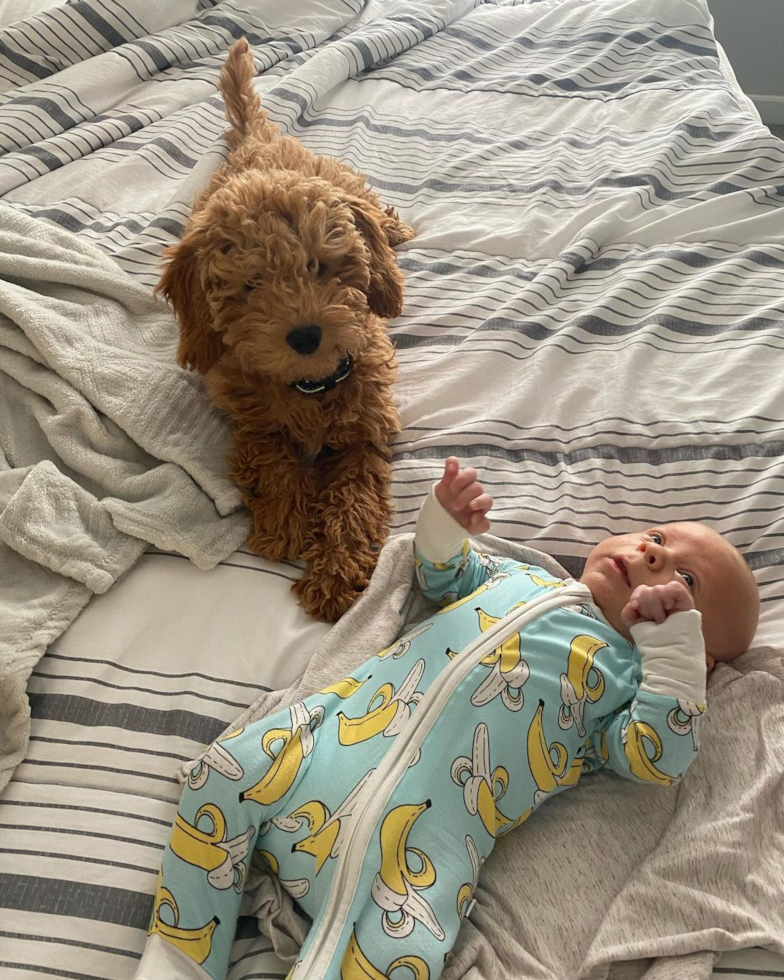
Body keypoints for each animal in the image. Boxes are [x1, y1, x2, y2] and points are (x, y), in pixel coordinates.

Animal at [160, 40, 416, 620]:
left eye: (320, 266)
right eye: (251, 286)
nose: (304, 335)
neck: (311, 385)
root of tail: (259, 141)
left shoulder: (367, 429)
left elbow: (355, 494)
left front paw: (337, 569)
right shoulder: (247, 417)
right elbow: (271, 456)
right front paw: (285, 521)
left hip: (343, 177)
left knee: (372, 204)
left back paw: (393, 227)